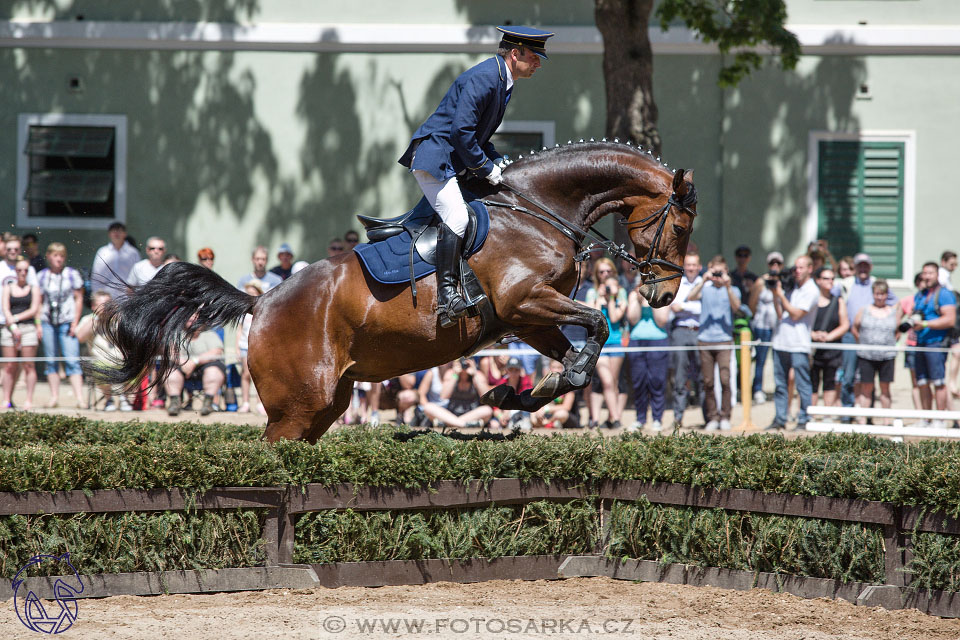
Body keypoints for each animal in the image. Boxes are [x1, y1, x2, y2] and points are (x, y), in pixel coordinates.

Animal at [92, 141, 696, 442]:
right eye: (682, 225)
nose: (664, 297)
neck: (539, 210)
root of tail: (261, 301)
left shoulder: (524, 318)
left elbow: (579, 358)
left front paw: (516, 394)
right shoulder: (524, 301)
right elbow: (599, 323)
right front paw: (524, 391)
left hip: (326, 404)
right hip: (296, 408)